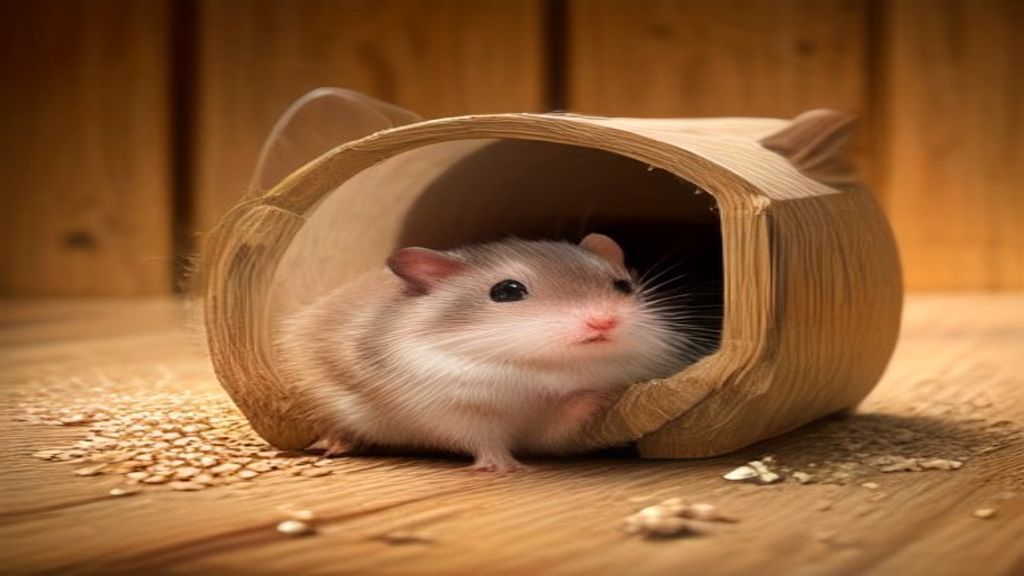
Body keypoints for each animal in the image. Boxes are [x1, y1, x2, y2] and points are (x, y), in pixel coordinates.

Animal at [276, 234, 701, 472]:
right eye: (506, 291)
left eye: (623, 285)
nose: (603, 322)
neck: (548, 366)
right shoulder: (456, 410)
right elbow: (485, 440)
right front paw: (506, 469)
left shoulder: (549, 433)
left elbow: (566, 413)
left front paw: (605, 392)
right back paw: (331, 445)